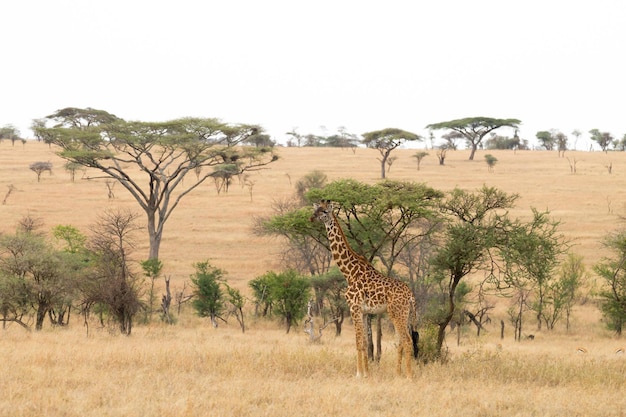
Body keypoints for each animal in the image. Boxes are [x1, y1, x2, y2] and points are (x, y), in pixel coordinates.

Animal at [308, 199, 416, 376]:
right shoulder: (365, 312)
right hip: (403, 314)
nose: (311, 218)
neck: (349, 272)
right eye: (316, 209)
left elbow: (358, 342)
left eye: (325, 212)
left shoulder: (354, 307)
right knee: (400, 341)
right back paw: (398, 374)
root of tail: (411, 296)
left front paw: (358, 374)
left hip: (397, 313)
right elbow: (365, 342)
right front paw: (367, 373)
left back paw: (408, 376)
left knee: (407, 340)